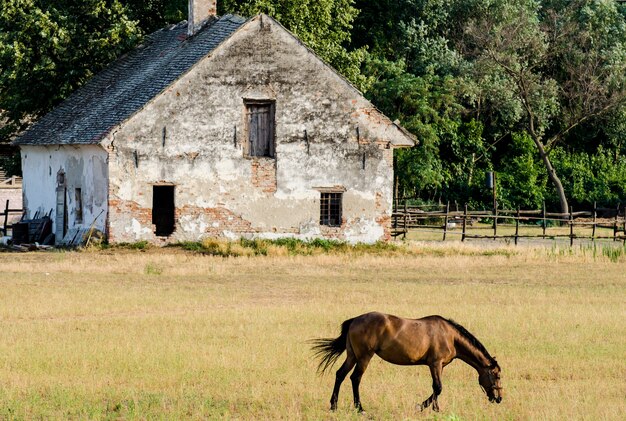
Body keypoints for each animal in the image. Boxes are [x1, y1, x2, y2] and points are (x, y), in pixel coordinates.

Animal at [310, 310, 502, 412]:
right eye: (497, 376)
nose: (499, 398)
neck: (450, 336)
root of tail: (354, 320)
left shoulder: (440, 366)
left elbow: (436, 388)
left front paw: (432, 407)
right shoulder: (435, 364)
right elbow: (438, 387)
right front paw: (424, 407)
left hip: (352, 355)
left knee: (340, 375)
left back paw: (334, 405)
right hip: (364, 356)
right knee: (355, 378)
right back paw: (360, 408)